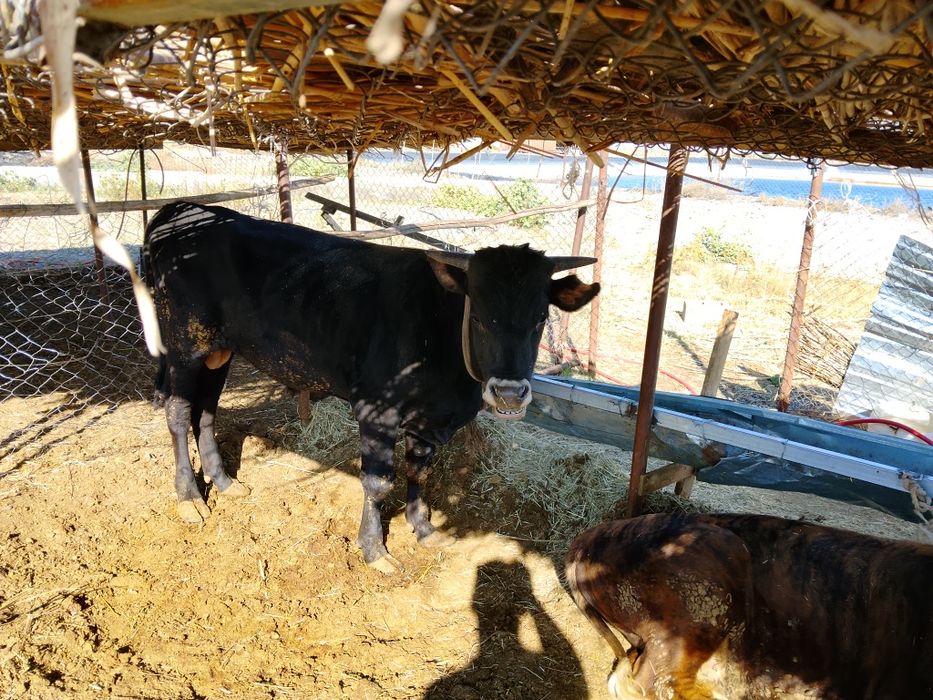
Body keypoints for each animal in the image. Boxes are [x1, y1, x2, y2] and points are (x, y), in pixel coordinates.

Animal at [143, 201, 599, 573]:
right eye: (480, 316)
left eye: (541, 318)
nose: (508, 393)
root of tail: (178, 209)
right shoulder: (376, 409)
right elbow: (378, 482)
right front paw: (374, 550)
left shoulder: (431, 418)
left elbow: (420, 469)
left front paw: (422, 526)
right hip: (183, 345)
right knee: (179, 413)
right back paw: (189, 498)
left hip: (218, 351)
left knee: (206, 411)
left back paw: (223, 482)